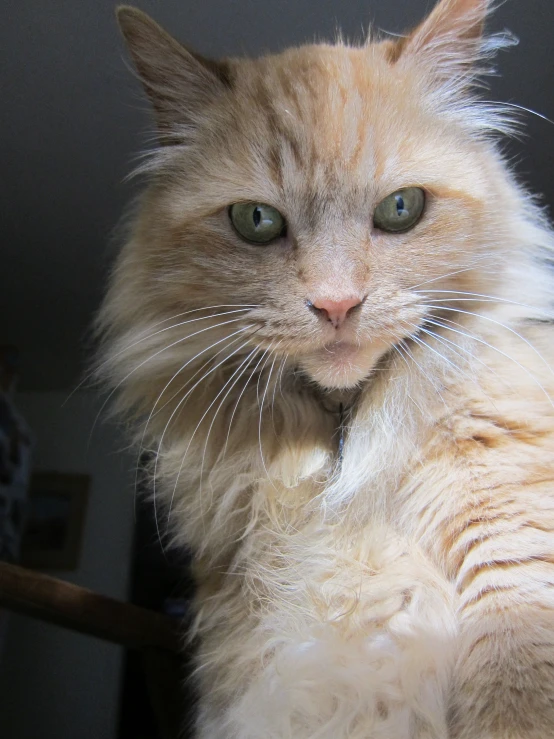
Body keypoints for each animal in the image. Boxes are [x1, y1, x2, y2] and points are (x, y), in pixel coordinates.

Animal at [97, 0, 552, 736]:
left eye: (400, 209)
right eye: (255, 220)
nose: (337, 303)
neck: (342, 445)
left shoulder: (512, 556)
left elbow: (512, 699)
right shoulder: (248, 640)